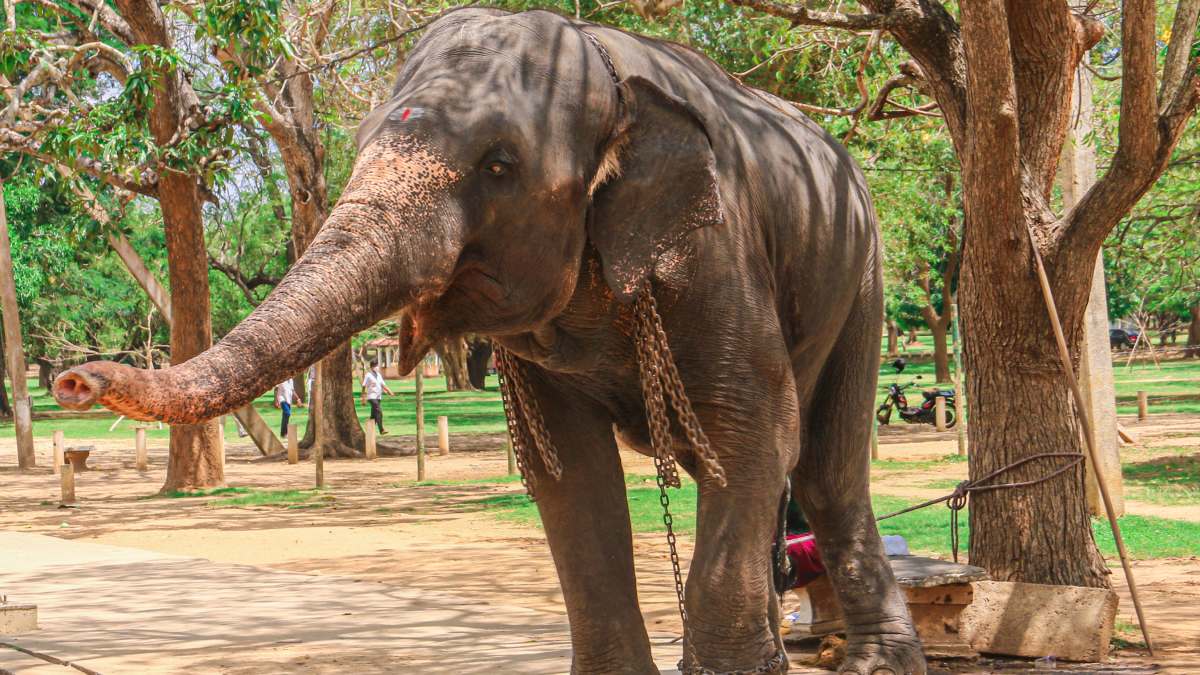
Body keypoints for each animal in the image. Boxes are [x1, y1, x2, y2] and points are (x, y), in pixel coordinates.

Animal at [53, 8, 923, 675]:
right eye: (361, 142)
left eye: (499, 165)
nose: (72, 381)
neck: (605, 65)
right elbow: (570, 475)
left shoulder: (718, 253)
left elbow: (748, 433)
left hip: (864, 272)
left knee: (826, 470)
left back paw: (875, 664)